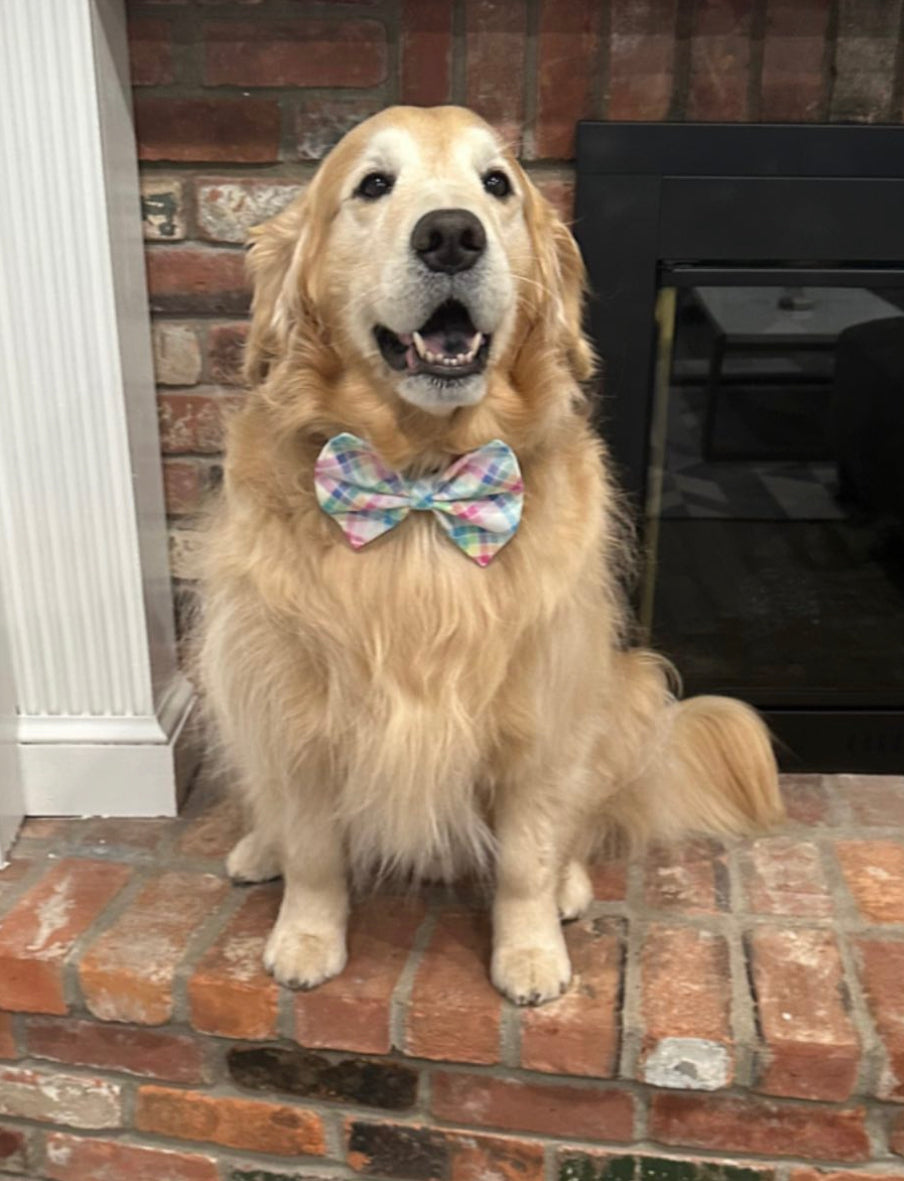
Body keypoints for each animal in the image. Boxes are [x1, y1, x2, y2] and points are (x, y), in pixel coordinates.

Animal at [199, 106, 784, 1001]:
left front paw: (532, 950)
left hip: (624, 692)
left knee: (581, 821)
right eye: (374, 184)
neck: (421, 478)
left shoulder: (542, 707)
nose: (451, 235)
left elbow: (526, 855)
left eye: (498, 184)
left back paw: (571, 886)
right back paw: (259, 849)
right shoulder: (291, 702)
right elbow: (313, 847)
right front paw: (304, 935)